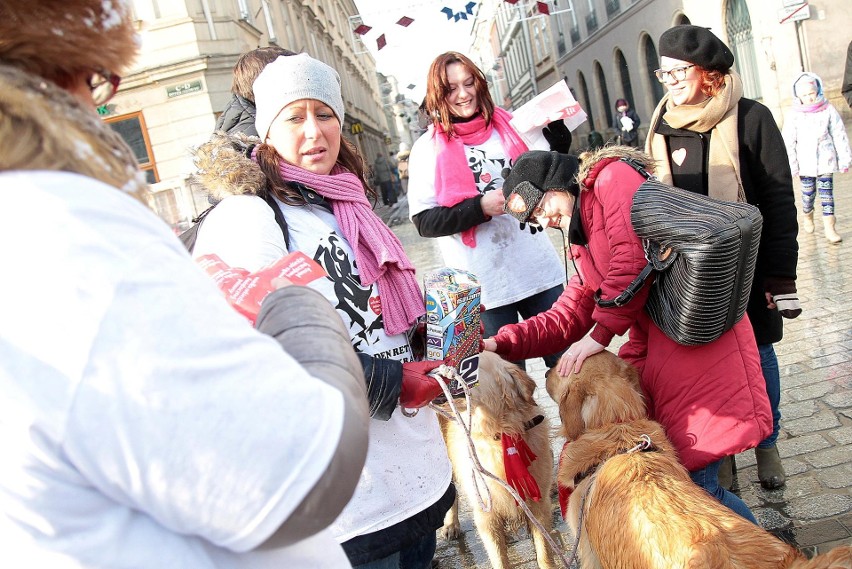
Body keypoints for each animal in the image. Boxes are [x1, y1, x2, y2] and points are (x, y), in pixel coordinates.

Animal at [440, 350, 560, 568]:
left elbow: (545, 552)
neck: (500, 434)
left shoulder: (538, 507)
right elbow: (499, 557)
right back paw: (451, 524)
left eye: (469, 366)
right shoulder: (486, 516)